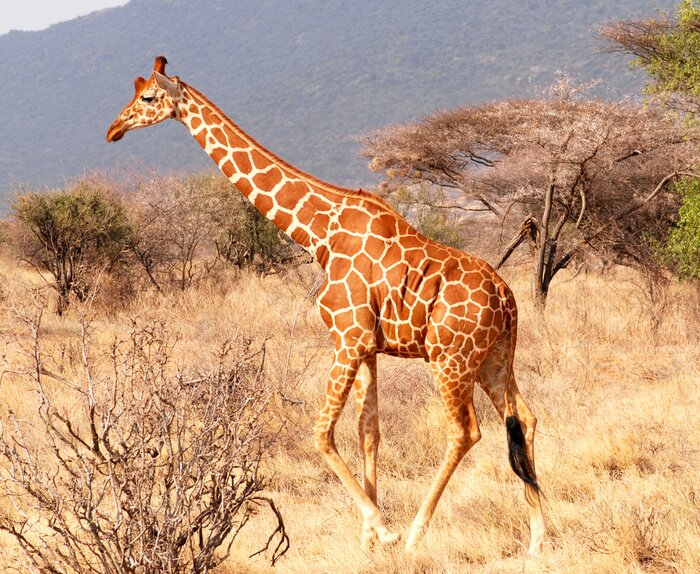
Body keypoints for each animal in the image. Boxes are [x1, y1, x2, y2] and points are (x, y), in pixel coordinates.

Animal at [107, 56, 546, 555]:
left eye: (147, 97)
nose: (113, 129)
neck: (319, 233)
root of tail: (508, 298)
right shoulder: (369, 347)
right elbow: (369, 432)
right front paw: (368, 541)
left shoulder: (348, 338)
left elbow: (321, 434)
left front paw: (384, 530)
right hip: (494, 358)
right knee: (524, 418)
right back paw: (538, 538)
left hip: (450, 358)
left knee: (465, 431)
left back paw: (417, 532)